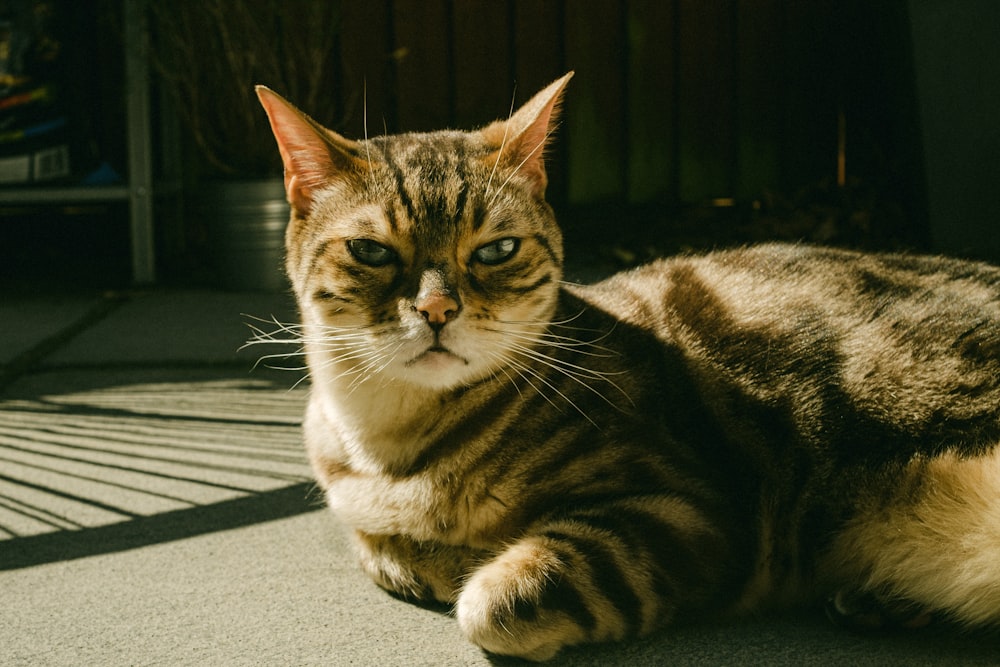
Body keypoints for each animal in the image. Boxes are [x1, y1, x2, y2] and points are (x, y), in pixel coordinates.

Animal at [256, 74, 1000, 664]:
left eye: (496, 249)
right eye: (371, 251)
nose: (438, 308)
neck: (388, 445)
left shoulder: (689, 511)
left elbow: (490, 601)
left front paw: (469, 562)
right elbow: (382, 549)